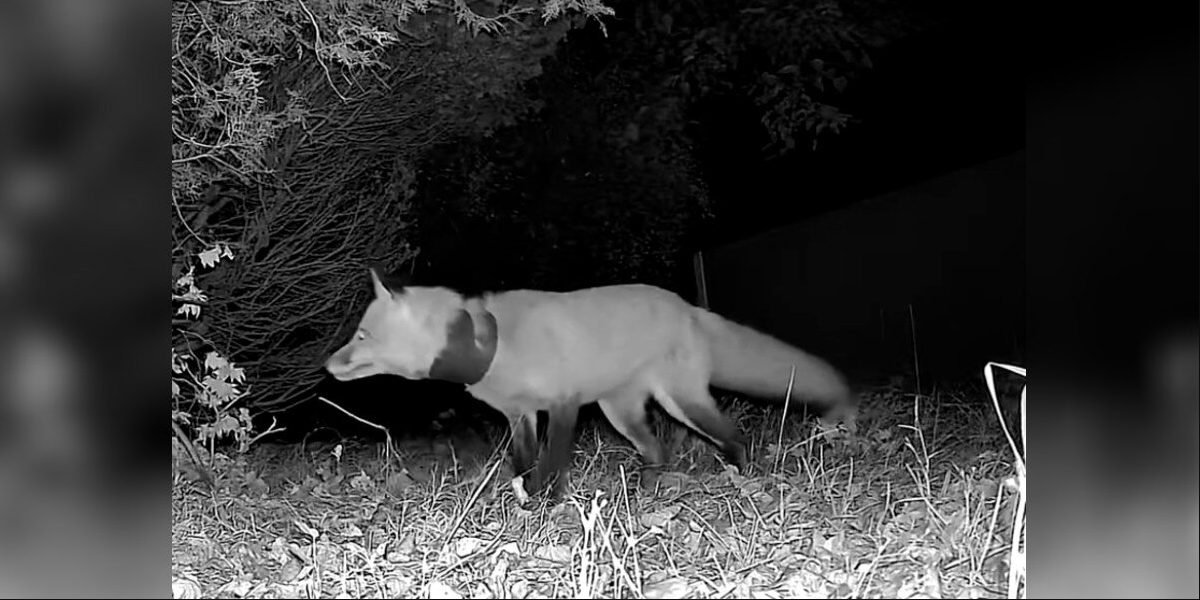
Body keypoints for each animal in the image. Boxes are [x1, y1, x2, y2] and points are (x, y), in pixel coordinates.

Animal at [325, 268, 857, 500]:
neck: (492, 344)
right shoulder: (521, 416)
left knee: (734, 437)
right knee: (660, 451)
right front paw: (522, 502)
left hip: (680, 402)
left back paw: (743, 475)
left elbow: (551, 466)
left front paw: (546, 505)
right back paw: (648, 487)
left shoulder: (565, 405)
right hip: (621, 414)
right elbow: (521, 466)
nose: (327, 365)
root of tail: (688, 307)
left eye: (361, 334)